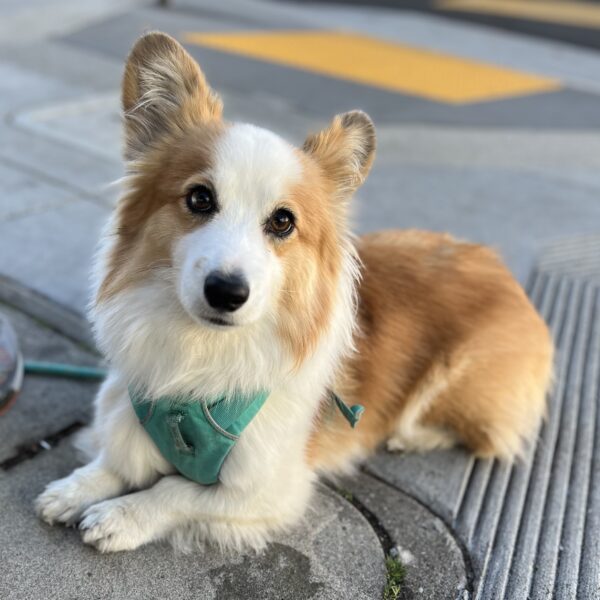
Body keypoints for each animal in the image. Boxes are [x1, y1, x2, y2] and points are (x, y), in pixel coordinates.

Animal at [36, 30, 552, 552]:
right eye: (200, 198)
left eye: (283, 222)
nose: (226, 293)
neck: (199, 359)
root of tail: (501, 268)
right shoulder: (126, 410)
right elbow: (115, 460)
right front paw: (74, 489)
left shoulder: (266, 489)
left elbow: (172, 491)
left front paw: (120, 516)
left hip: (458, 379)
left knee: (486, 435)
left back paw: (410, 436)